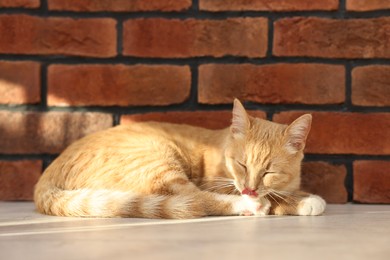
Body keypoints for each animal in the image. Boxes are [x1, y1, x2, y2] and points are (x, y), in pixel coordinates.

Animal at [34, 100, 326, 218]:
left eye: (268, 171)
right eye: (242, 164)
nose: (249, 189)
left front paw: (300, 196)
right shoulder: (218, 183)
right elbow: (274, 200)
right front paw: (306, 202)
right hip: (159, 163)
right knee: (194, 200)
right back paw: (248, 206)